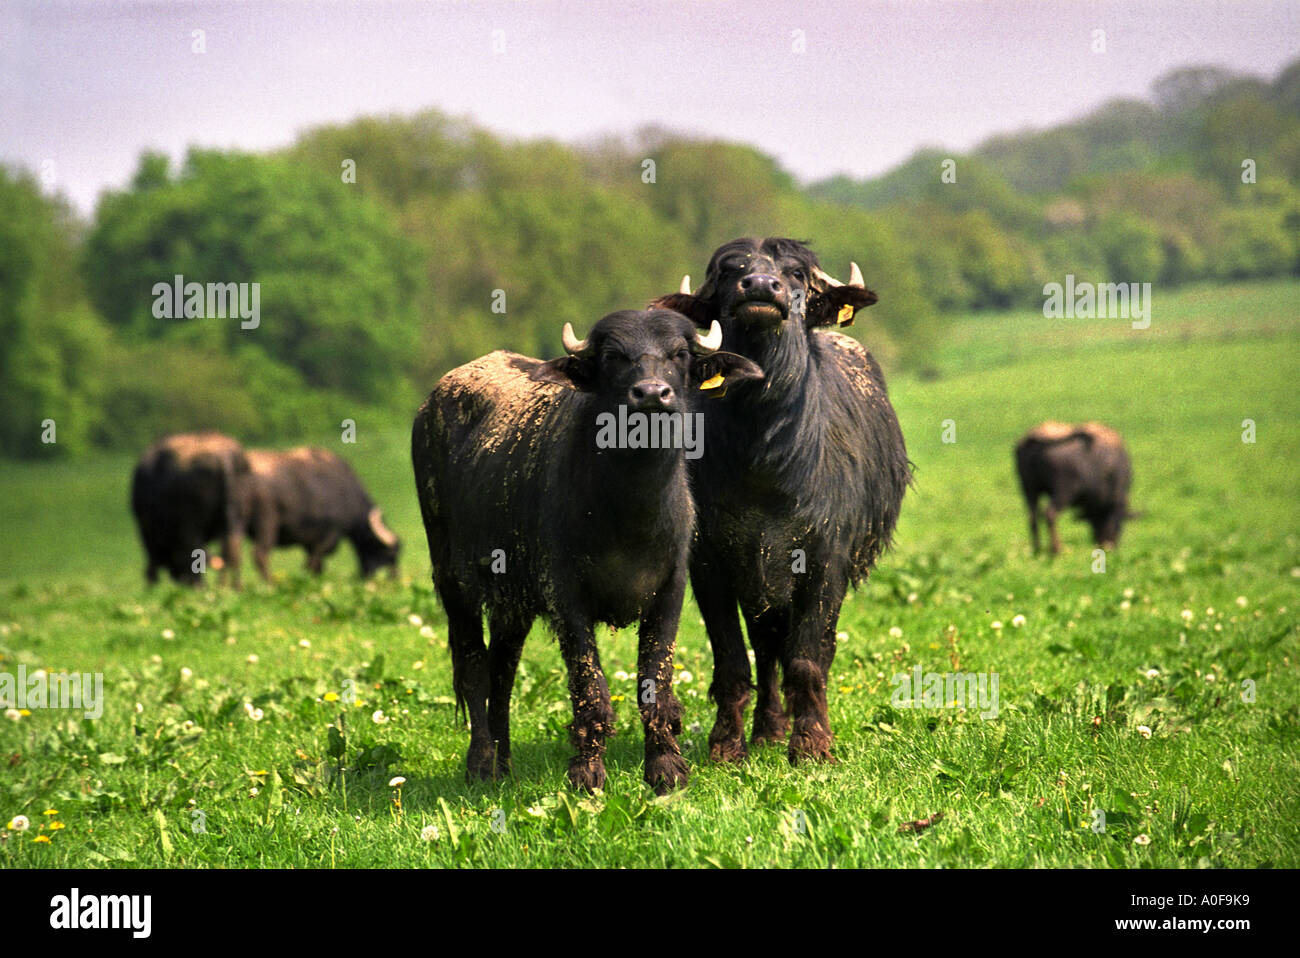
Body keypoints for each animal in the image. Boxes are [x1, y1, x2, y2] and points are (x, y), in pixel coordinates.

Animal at [246, 447, 400, 579]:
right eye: (388, 552)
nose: (393, 578)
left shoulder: (310, 544)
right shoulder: (327, 537)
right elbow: (314, 564)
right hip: (267, 524)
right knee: (260, 555)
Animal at [410, 308, 759, 790]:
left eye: (680, 354)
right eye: (613, 355)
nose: (652, 393)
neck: (629, 510)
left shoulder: (669, 591)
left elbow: (656, 683)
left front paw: (666, 769)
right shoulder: (565, 596)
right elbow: (589, 688)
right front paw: (587, 773)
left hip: (512, 600)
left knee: (502, 669)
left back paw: (504, 763)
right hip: (452, 578)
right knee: (475, 667)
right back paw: (480, 764)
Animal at [650, 237, 915, 764]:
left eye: (794, 273)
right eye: (730, 270)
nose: (759, 286)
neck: (764, 457)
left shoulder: (825, 562)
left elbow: (808, 659)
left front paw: (812, 744)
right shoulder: (712, 565)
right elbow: (734, 660)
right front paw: (726, 745)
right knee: (767, 647)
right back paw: (768, 729)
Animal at [1008, 421, 1133, 553]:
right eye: (1120, 521)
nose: (1108, 545)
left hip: (1029, 490)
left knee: (1033, 517)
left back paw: (1038, 549)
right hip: (1063, 492)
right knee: (1050, 513)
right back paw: (1057, 549)